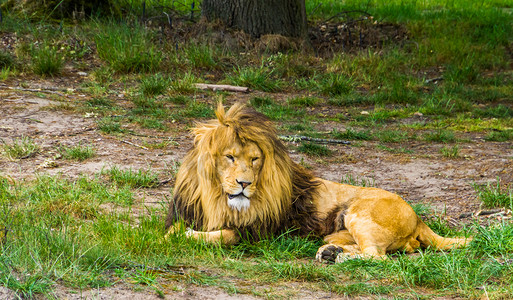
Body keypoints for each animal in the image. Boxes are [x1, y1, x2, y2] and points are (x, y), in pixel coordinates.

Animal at [165, 102, 472, 262]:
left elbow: (225, 235)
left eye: (255, 159)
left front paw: (182, 236)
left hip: (359, 213)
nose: (244, 184)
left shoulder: (259, 232)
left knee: (377, 256)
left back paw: (337, 257)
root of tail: (418, 217)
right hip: (335, 231)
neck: (216, 197)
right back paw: (331, 252)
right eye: (229, 157)